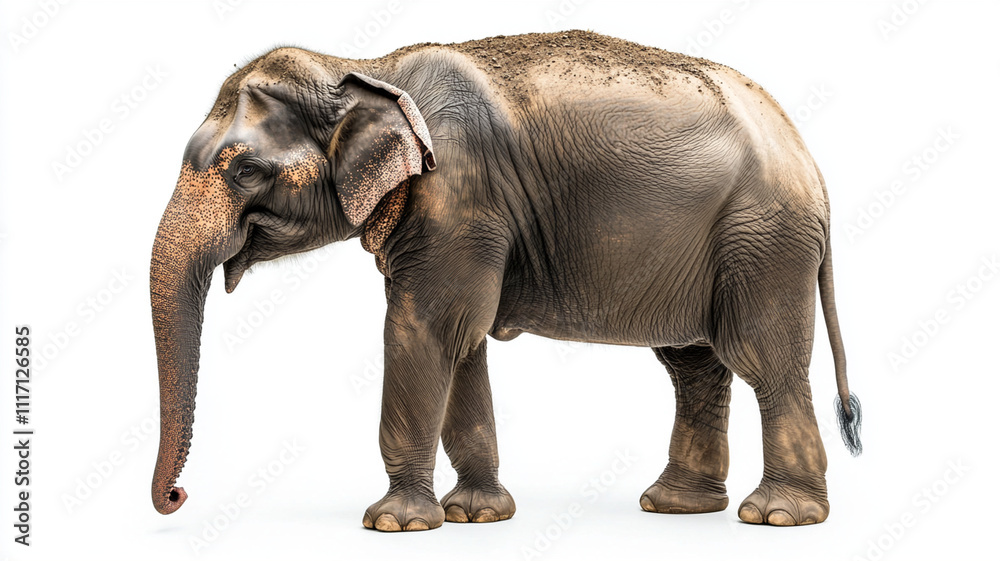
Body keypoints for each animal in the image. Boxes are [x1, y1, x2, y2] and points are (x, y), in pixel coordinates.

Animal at [150, 30, 862, 531]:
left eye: (242, 171)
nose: (178, 496)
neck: (365, 66)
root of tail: (811, 161)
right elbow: (460, 344)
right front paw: (476, 515)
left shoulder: (459, 197)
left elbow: (423, 331)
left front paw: (395, 523)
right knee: (693, 364)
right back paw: (676, 505)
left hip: (762, 239)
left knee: (763, 359)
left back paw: (777, 516)